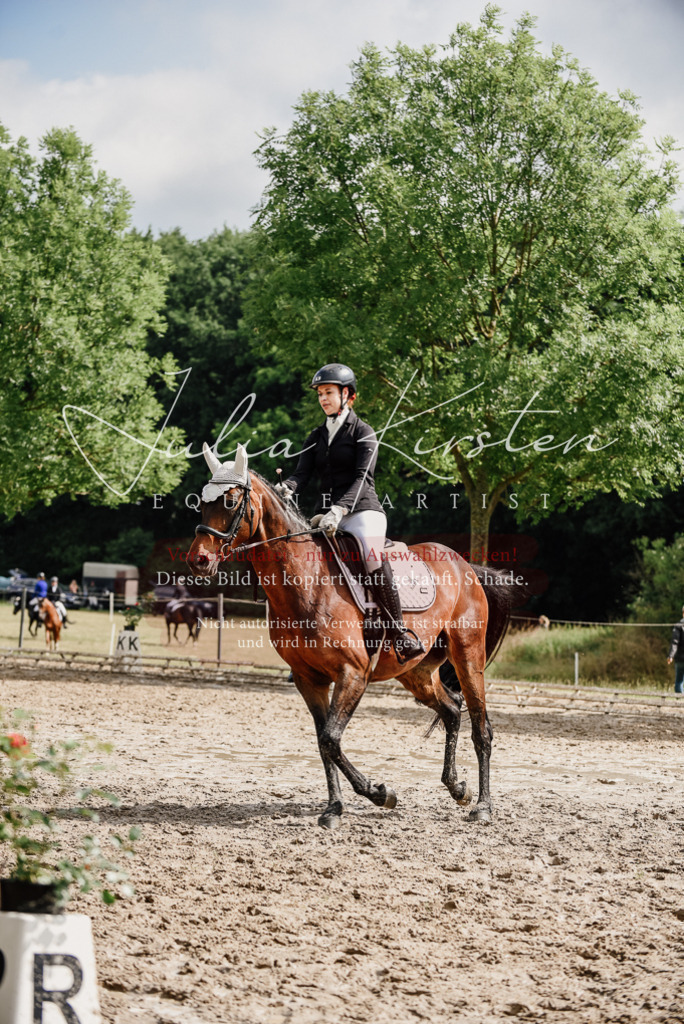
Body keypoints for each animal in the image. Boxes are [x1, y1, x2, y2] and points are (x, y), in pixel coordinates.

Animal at [188, 443, 519, 830]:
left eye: (228, 502)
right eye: (201, 503)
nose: (198, 560)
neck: (307, 582)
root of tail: (464, 564)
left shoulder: (353, 674)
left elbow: (332, 738)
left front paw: (380, 793)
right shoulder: (309, 679)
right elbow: (323, 743)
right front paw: (334, 808)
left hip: (467, 657)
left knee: (482, 727)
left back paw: (482, 805)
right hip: (416, 672)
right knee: (452, 710)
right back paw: (457, 788)